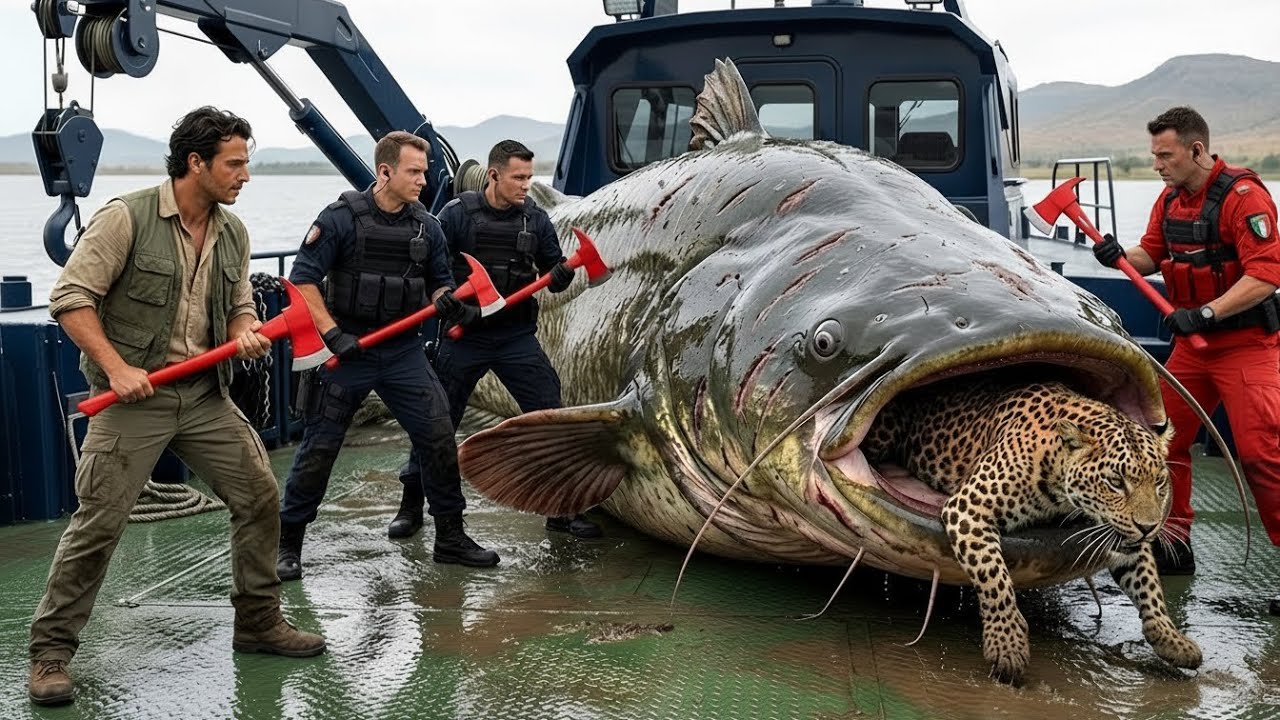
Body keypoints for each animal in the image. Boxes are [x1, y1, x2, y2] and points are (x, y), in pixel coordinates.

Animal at [863, 378, 1202, 683]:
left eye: (1159, 482)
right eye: (1116, 482)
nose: (1148, 527)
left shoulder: (1126, 539)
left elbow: (1148, 585)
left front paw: (1171, 639)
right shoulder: (969, 506)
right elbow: (994, 575)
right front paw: (1007, 643)